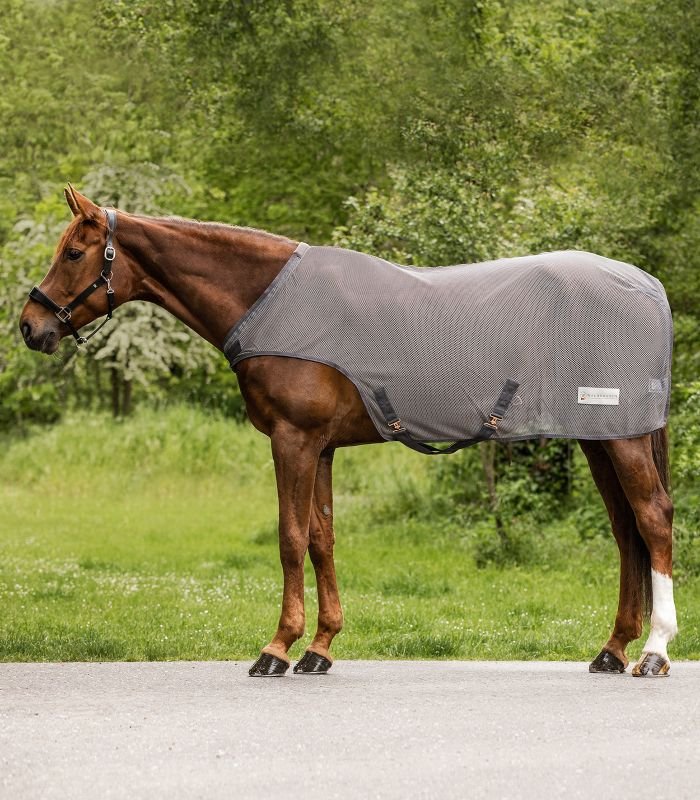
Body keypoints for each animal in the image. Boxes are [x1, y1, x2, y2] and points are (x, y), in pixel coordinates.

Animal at [19, 186, 678, 678]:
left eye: (74, 252)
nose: (29, 326)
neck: (269, 303)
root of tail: (648, 286)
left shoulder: (293, 441)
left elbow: (289, 537)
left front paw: (277, 647)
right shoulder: (323, 448)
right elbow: (321, 538)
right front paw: (319, 647)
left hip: (621, 439)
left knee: (652, 520)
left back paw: (653, 651)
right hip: (599, 439)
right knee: (626, 534)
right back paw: (612, 649)